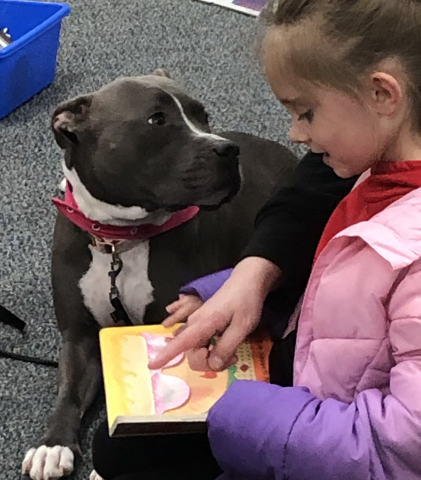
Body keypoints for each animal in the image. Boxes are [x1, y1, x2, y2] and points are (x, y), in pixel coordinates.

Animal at [21, 68, 296, 480]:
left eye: (203, 116)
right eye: (157, 120)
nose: (228, 150)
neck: (119, 240)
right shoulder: (80, 335)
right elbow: (68, 391)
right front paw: (52, 445)